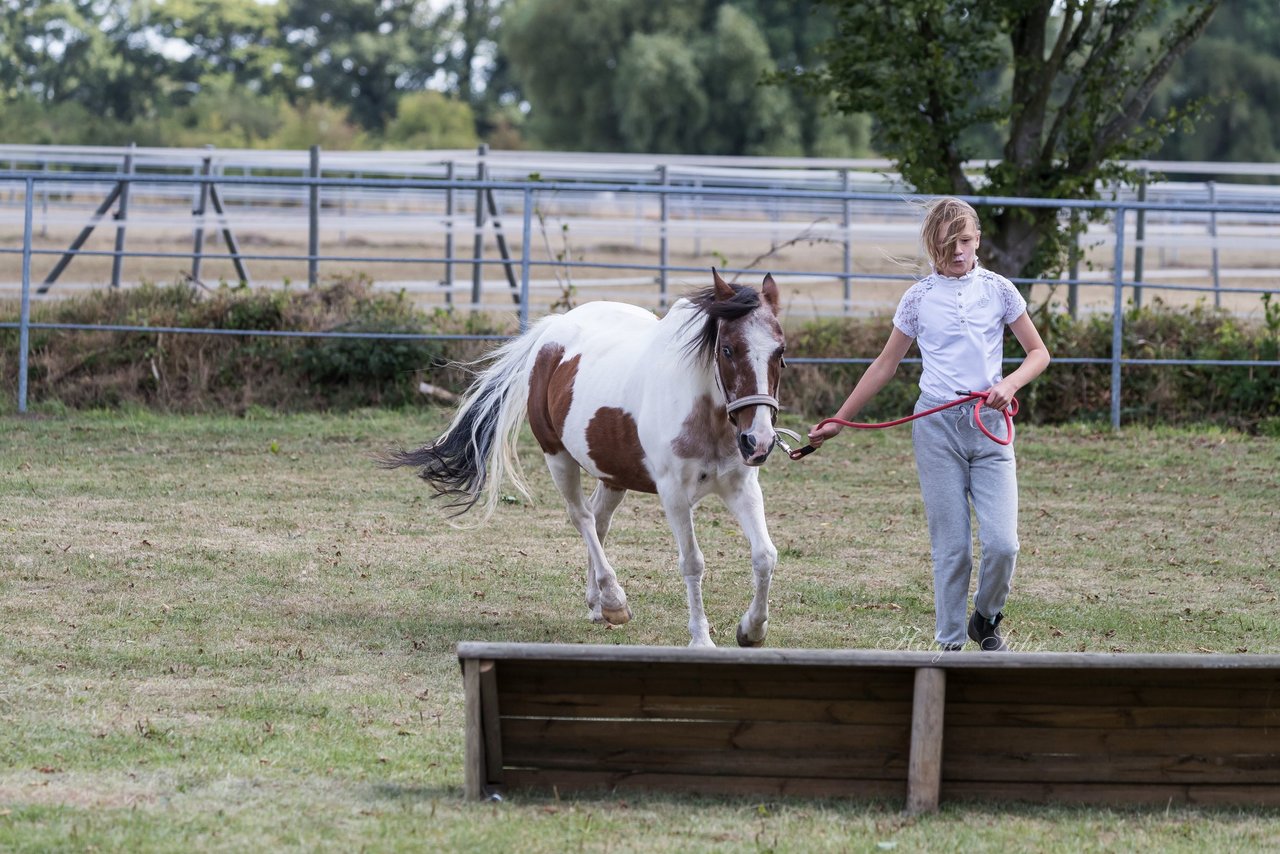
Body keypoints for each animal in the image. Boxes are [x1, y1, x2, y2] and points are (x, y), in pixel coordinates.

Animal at [378, 270, 783, 645]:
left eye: (780, 352)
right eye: (727, 349)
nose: (758, 441)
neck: (705, 412)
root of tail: (551, 331)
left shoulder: (741, 487)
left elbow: (765, 555)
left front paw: (752, 630)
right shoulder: (674, 495)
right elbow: (693, 562)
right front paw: (701, 638)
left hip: (614, 472)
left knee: (599, 520)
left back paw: (599, 602)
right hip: (558, 458)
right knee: (583, 517)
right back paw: (614, 600)